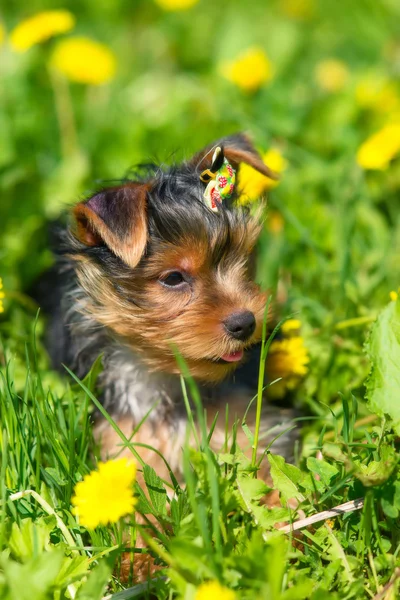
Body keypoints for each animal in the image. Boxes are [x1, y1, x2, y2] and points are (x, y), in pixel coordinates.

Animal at [39, 134, 296, 480]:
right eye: (173, 278)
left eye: (243, 260)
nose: (246, 323)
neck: (172, 378)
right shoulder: (123, 440)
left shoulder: (251, 419)